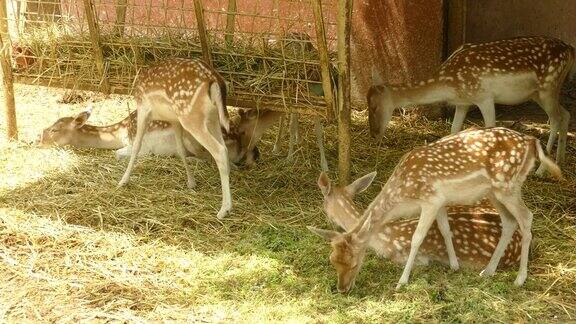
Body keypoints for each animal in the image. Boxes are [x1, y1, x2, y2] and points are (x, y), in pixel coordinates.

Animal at [36, 106, 260, 163]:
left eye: (55, 129)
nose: (38, 139)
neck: (122, 131)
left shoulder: (139, 144)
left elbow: (118, 154)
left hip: (194, 138)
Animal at [118, 58, 235, 220]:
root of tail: (214, 80)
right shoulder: (174, 120)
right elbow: (180, 149)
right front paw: (191, 182)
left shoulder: (143, 109)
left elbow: (136, 146)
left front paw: (123, 181)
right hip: (213, 118)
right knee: (224, 147)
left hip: (191, 116)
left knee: (219, 150)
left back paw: (224, 209)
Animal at [368, 36, 576, 172]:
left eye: (375, 106)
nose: (373, 134)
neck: (449, 82)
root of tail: (570, 49)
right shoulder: (463, 103)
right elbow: (453, 130)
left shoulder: (484, 97)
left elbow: (490, 129)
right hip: (539, 94)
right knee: (566, 114)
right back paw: (560, 161)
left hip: (548, 87)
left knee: (556, 118)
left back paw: (541, 170)